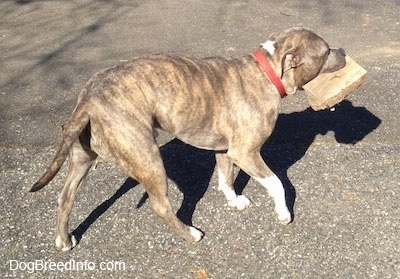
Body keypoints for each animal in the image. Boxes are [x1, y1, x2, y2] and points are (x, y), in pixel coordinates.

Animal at [29, 27, 346, 252]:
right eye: (326, 50)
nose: (343, 49)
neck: (267, 71)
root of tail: (89, 98)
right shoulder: (246, 152)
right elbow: (277, 183)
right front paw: (283, 213)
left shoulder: (225, 149)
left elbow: (226, 179)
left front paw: (234, 201)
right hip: (148, 158)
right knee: (160, 205)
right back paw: (190, 234)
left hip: (82, 158)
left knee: (65, 197)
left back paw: (64, 240)